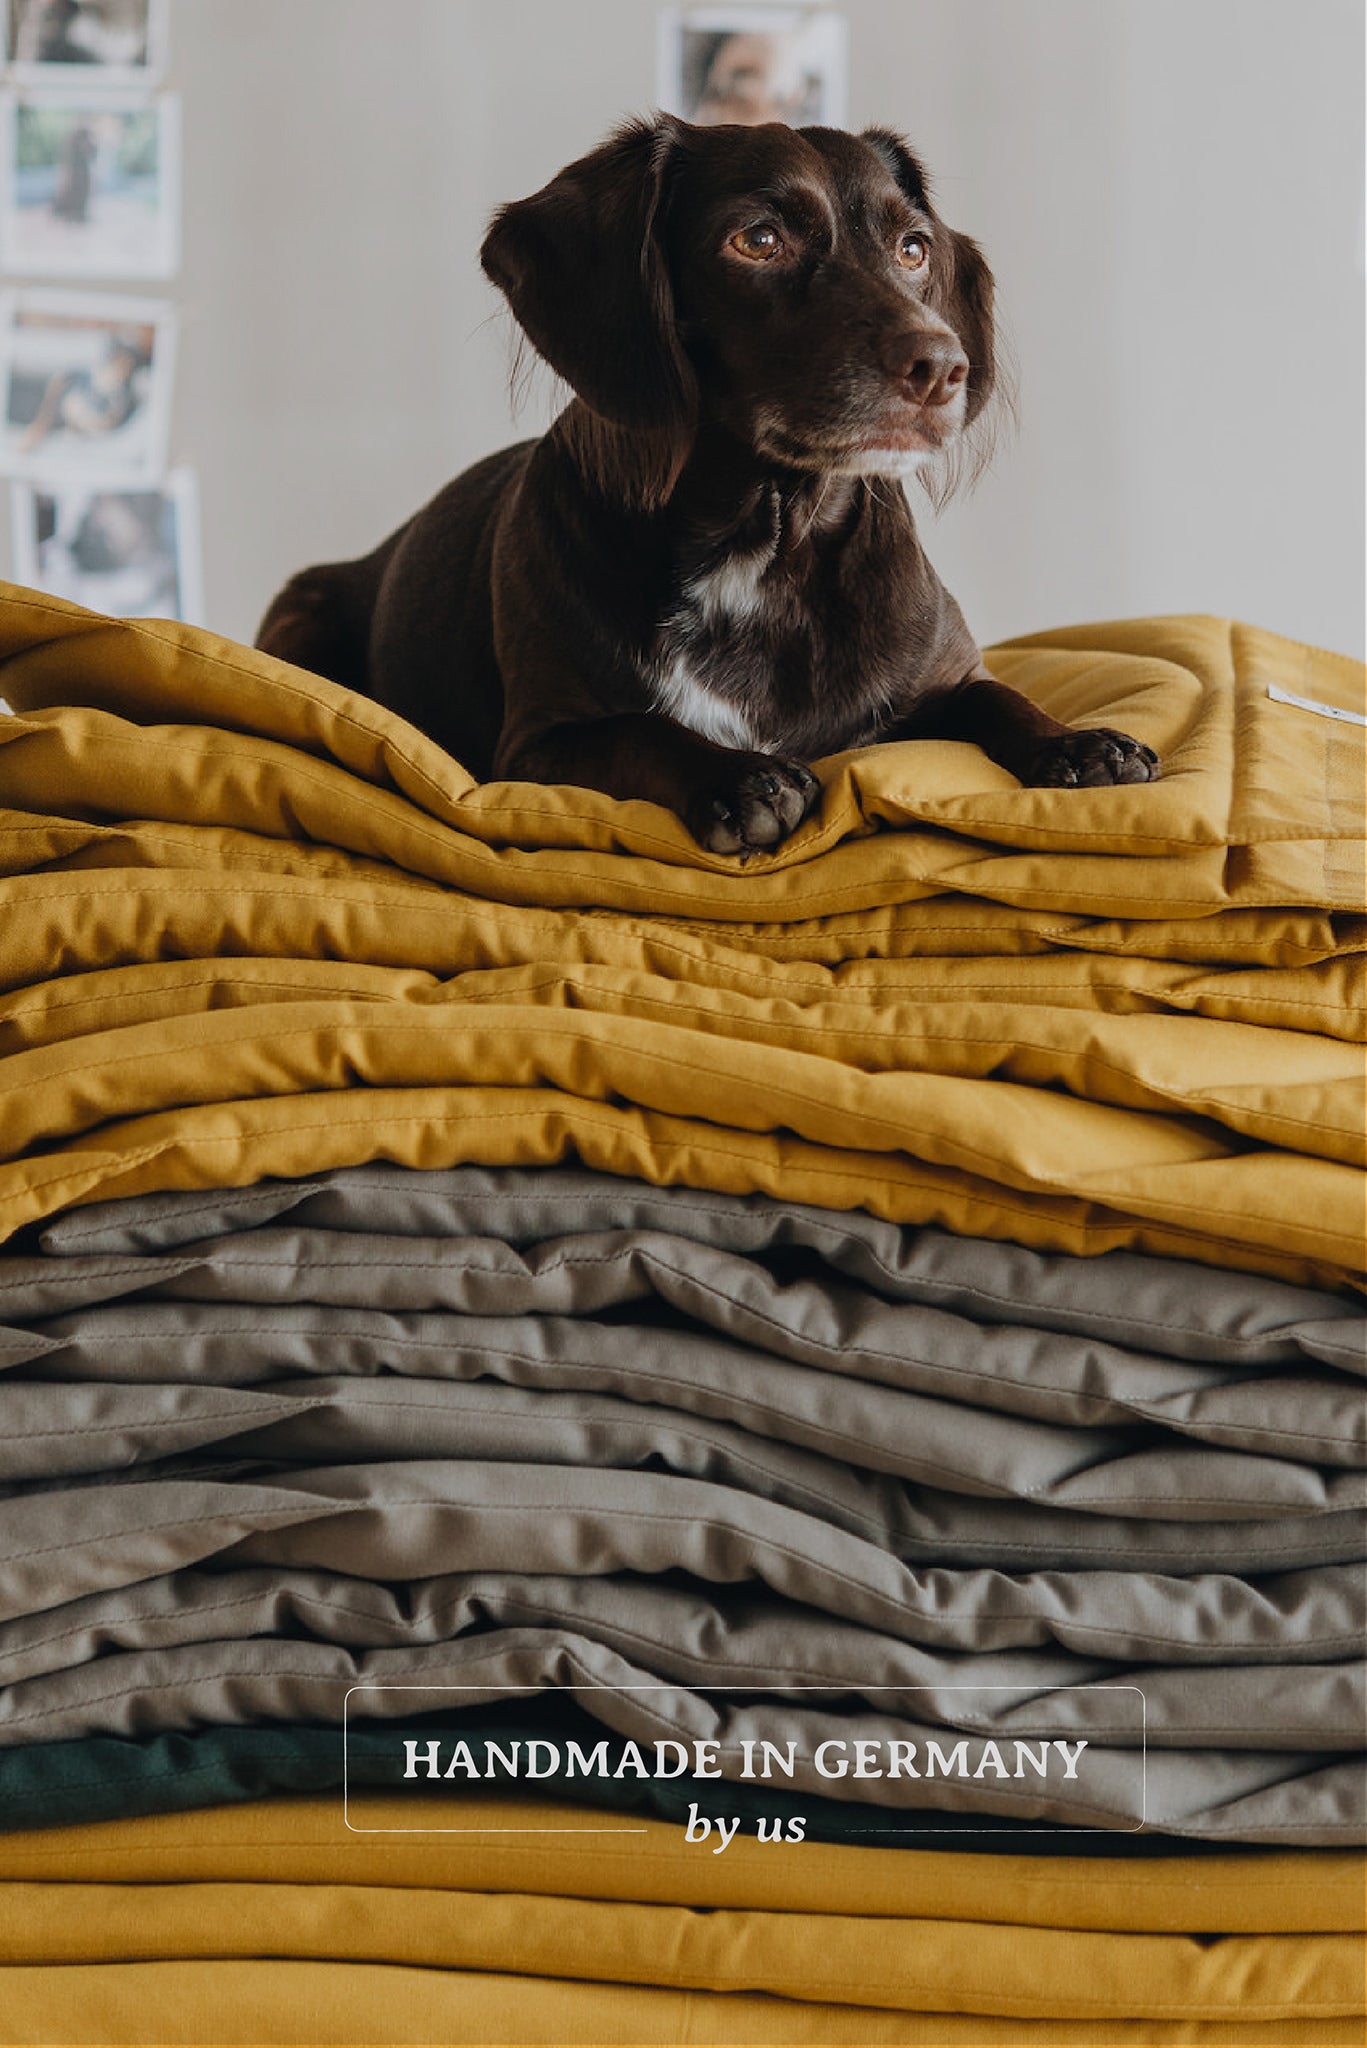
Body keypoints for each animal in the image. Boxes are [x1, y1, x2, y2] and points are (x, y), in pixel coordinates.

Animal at [254, 116, 1155, 851]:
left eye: (913, 249)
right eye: (757, 241)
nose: (943, 368)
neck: (761, 541)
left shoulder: (941, 682)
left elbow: (993, 697)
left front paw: (1077, 743)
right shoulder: (535, 748)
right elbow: (643, 732)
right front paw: (737, 778)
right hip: (298, 612)